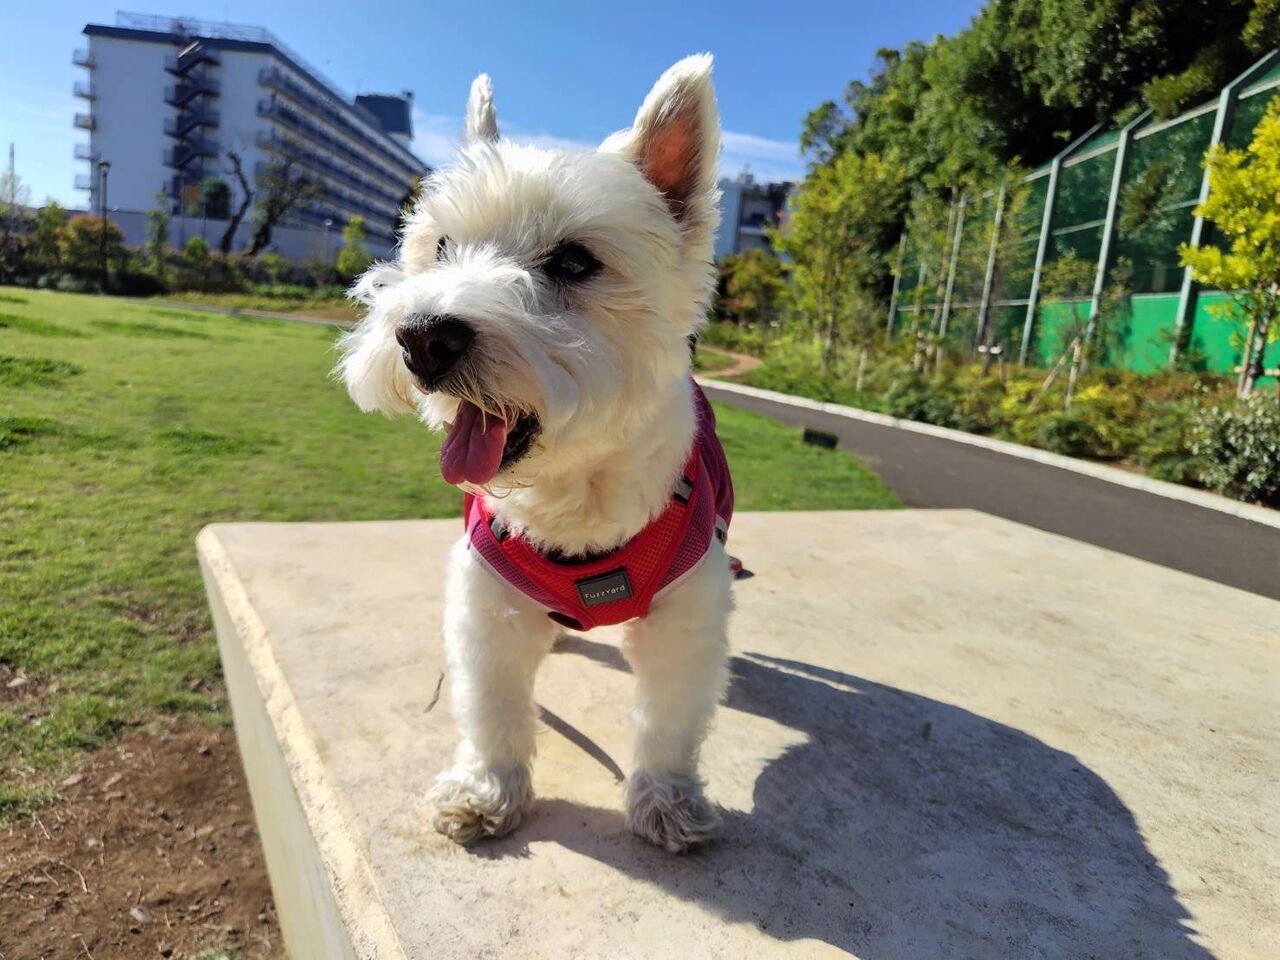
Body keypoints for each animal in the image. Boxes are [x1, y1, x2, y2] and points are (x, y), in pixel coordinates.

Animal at [338, 55, 734, 853]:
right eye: (442, 247)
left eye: (576, 261)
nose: (422, 337)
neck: (571, 501)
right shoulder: (487, 604)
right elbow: (491, 706)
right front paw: (487, 792)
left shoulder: (686, 616)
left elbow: (672, 719)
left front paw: (669, 801)